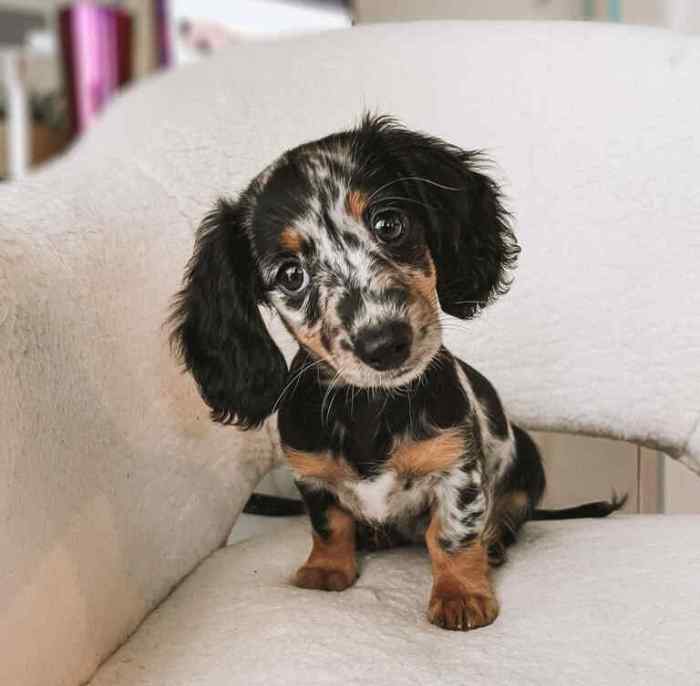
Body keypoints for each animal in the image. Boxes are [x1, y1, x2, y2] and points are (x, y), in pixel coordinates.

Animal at [171, 115, 624, 632]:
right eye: (290, 274)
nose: (384, 344)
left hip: (527, 457)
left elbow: (451, 534)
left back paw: (493, 543)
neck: (369, 407)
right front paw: (325, 568)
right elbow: (328, 524)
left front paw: (460, 593)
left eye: (389, 224)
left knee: (510, 514)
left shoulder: (456, 467)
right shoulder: (310, 475)